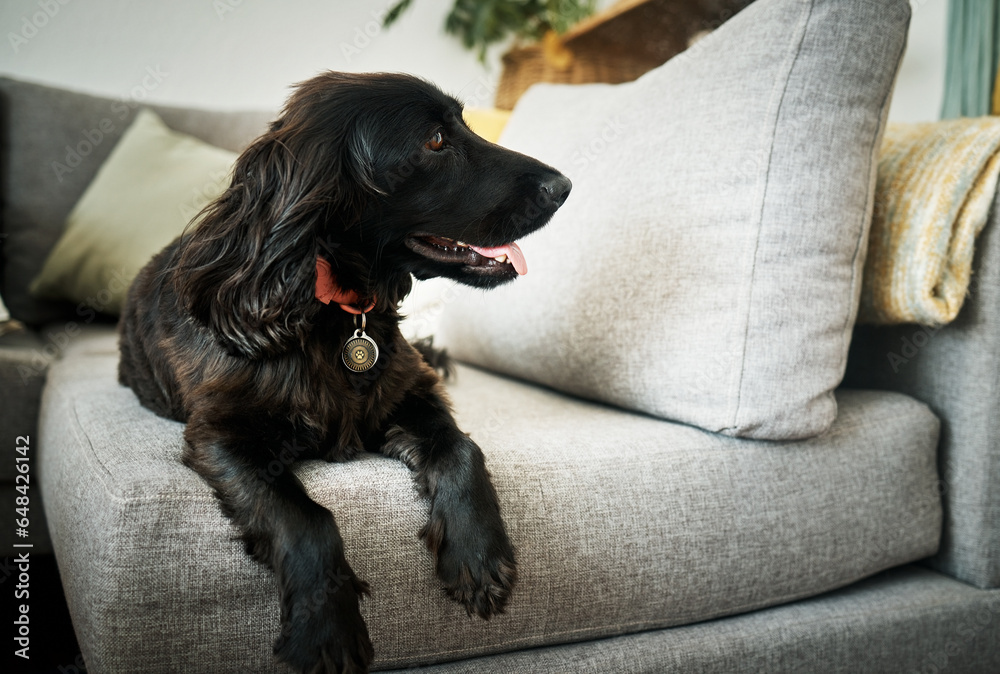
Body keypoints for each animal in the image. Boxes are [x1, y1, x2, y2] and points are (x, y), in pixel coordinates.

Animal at [117, 71, 572, 668]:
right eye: (434, 141)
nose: (564, 186)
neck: (334, 310)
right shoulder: (222, 434)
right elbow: (306, 518)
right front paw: (324, 628)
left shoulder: (409, 392)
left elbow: (462, 449)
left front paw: (478, 553)